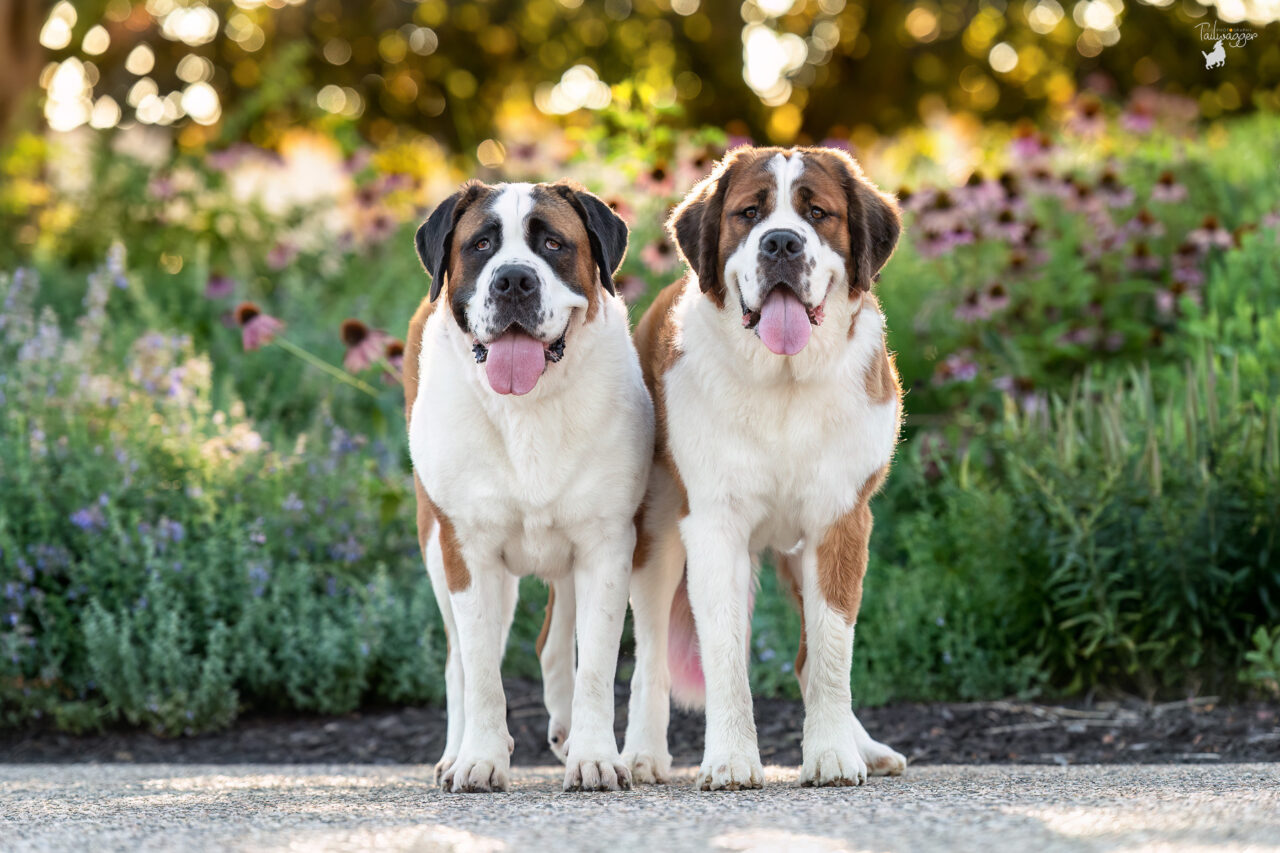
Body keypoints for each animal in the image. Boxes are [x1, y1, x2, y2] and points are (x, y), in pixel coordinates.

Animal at [407, 179, 655, 788]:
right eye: (481, 244)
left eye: (552, 243)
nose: (514, 280)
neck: (530, 407)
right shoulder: (466, 550)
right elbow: (481, 670)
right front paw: (480, 759)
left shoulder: (607, 544)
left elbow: (595, 663)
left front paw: (595, 758)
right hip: (434, 544)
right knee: (459, 659)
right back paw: (454, 751)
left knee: (555, 637)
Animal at [622, 146, 911, 788]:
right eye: (749, 213)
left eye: (818, 213)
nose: (781, 243)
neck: (785, 384)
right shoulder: (714, 526)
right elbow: (726, 650)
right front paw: (731, 760)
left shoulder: (840, 522)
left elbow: (831, 649)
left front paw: (833, 755)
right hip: (655, 535)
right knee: (650, 653)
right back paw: (642, 755)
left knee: (808, 653)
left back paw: (868, 748)